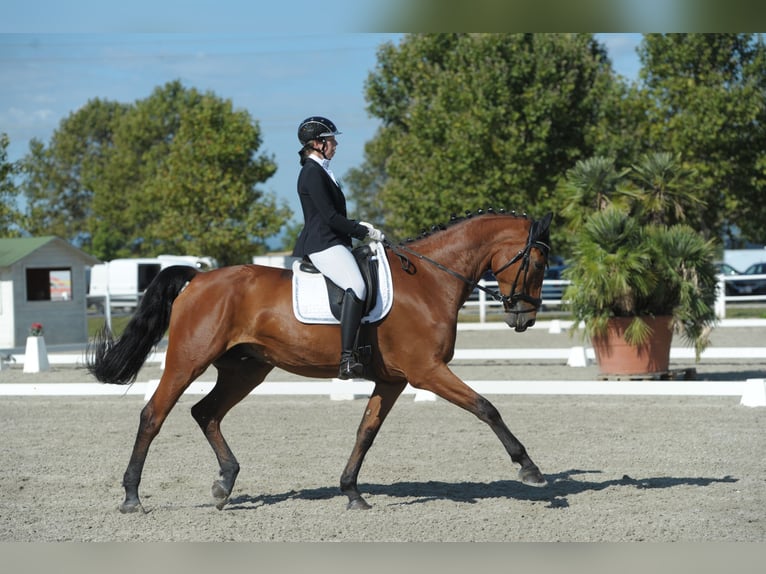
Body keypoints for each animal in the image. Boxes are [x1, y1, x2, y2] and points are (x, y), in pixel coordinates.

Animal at [87, 209, 553, 513]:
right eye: (538, 260)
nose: (525, 318)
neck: (430, 280)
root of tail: (199, 278)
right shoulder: (427, 372)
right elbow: (486, 407)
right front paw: (529, 469)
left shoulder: (394, 380)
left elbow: (366, 432)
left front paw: (351, 492)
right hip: (188, 361)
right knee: (154, 415)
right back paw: (132, 497)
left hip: (247, 368)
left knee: (206, 412)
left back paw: (225, 484)